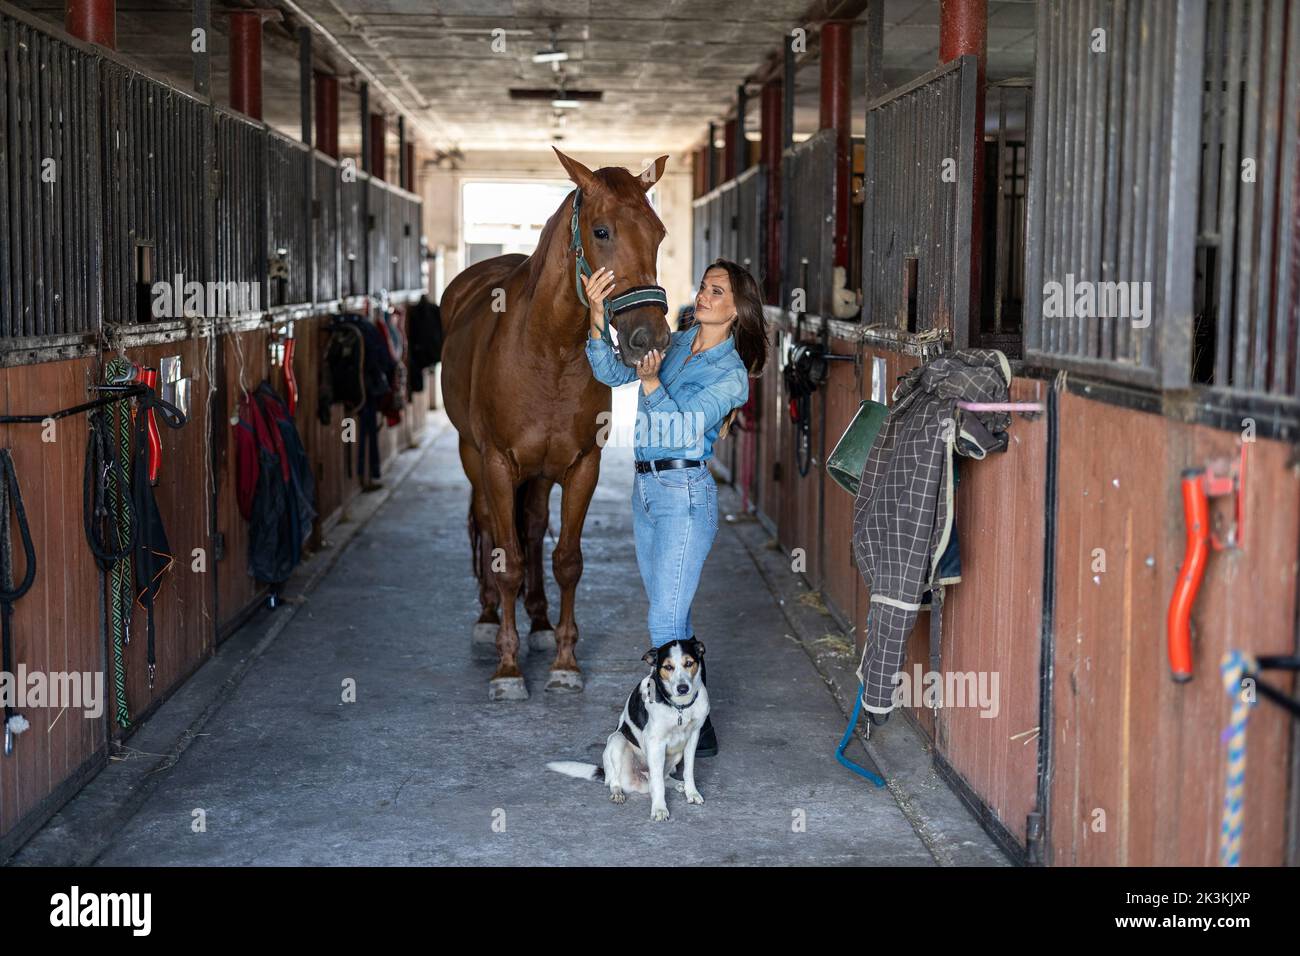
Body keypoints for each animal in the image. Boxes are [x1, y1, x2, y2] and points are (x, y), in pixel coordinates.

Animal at [440, 148, 672, 700]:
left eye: (658, 233)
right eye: (602, 231)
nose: (648, 337)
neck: (549, 349)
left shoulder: (581, 465)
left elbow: (566, 560)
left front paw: (565, 662)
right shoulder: (498, 464)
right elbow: (507, 560)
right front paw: (507, 671)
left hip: (541, 474)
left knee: (532, 527)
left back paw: (541, 624)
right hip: (472, 456)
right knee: (488, 524)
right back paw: (488, 620)